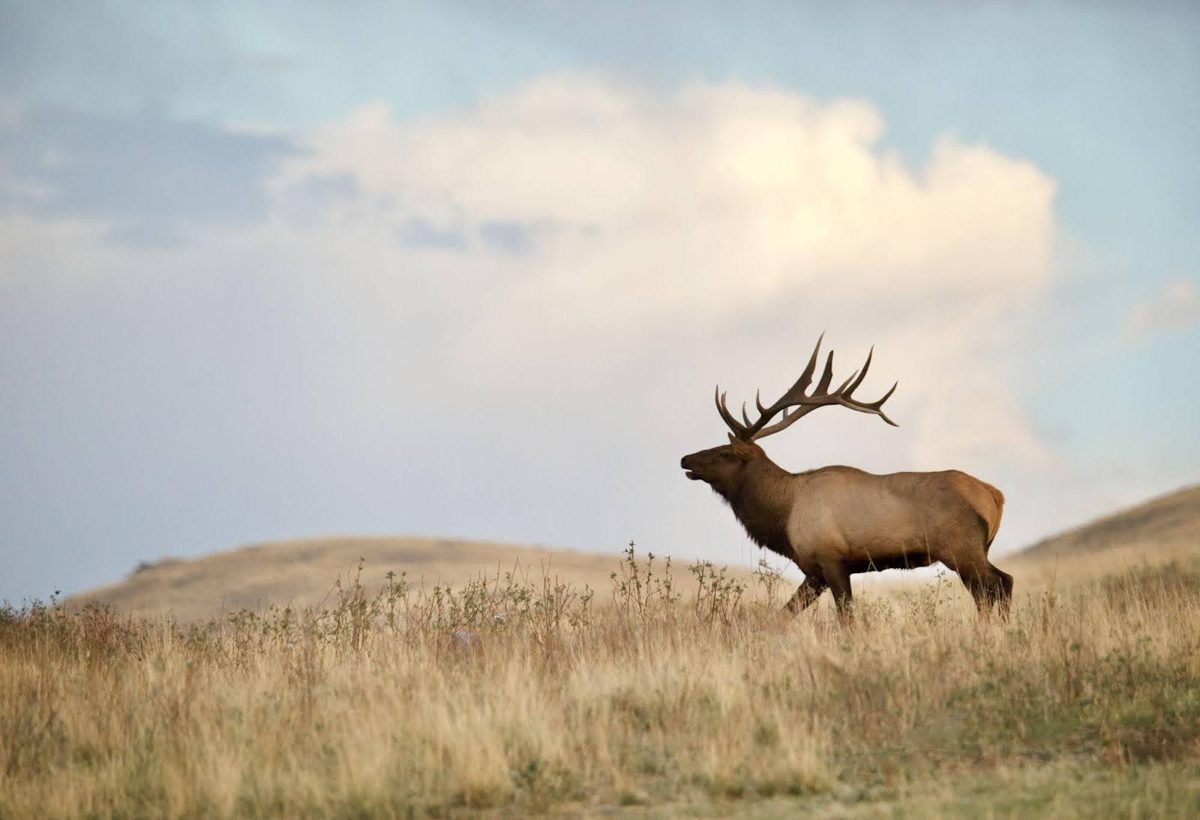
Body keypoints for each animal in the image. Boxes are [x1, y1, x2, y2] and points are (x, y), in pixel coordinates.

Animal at [680, 335, 1012, 617]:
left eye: (725, 452)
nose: (685, 458)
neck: (783, 516)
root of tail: (995, 495)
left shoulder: (831, 559)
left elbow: (846, 617)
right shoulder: (814, 571)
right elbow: (783, 616)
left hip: (961, 548)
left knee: (995, 587)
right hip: (975, 550)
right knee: (1000, 584)